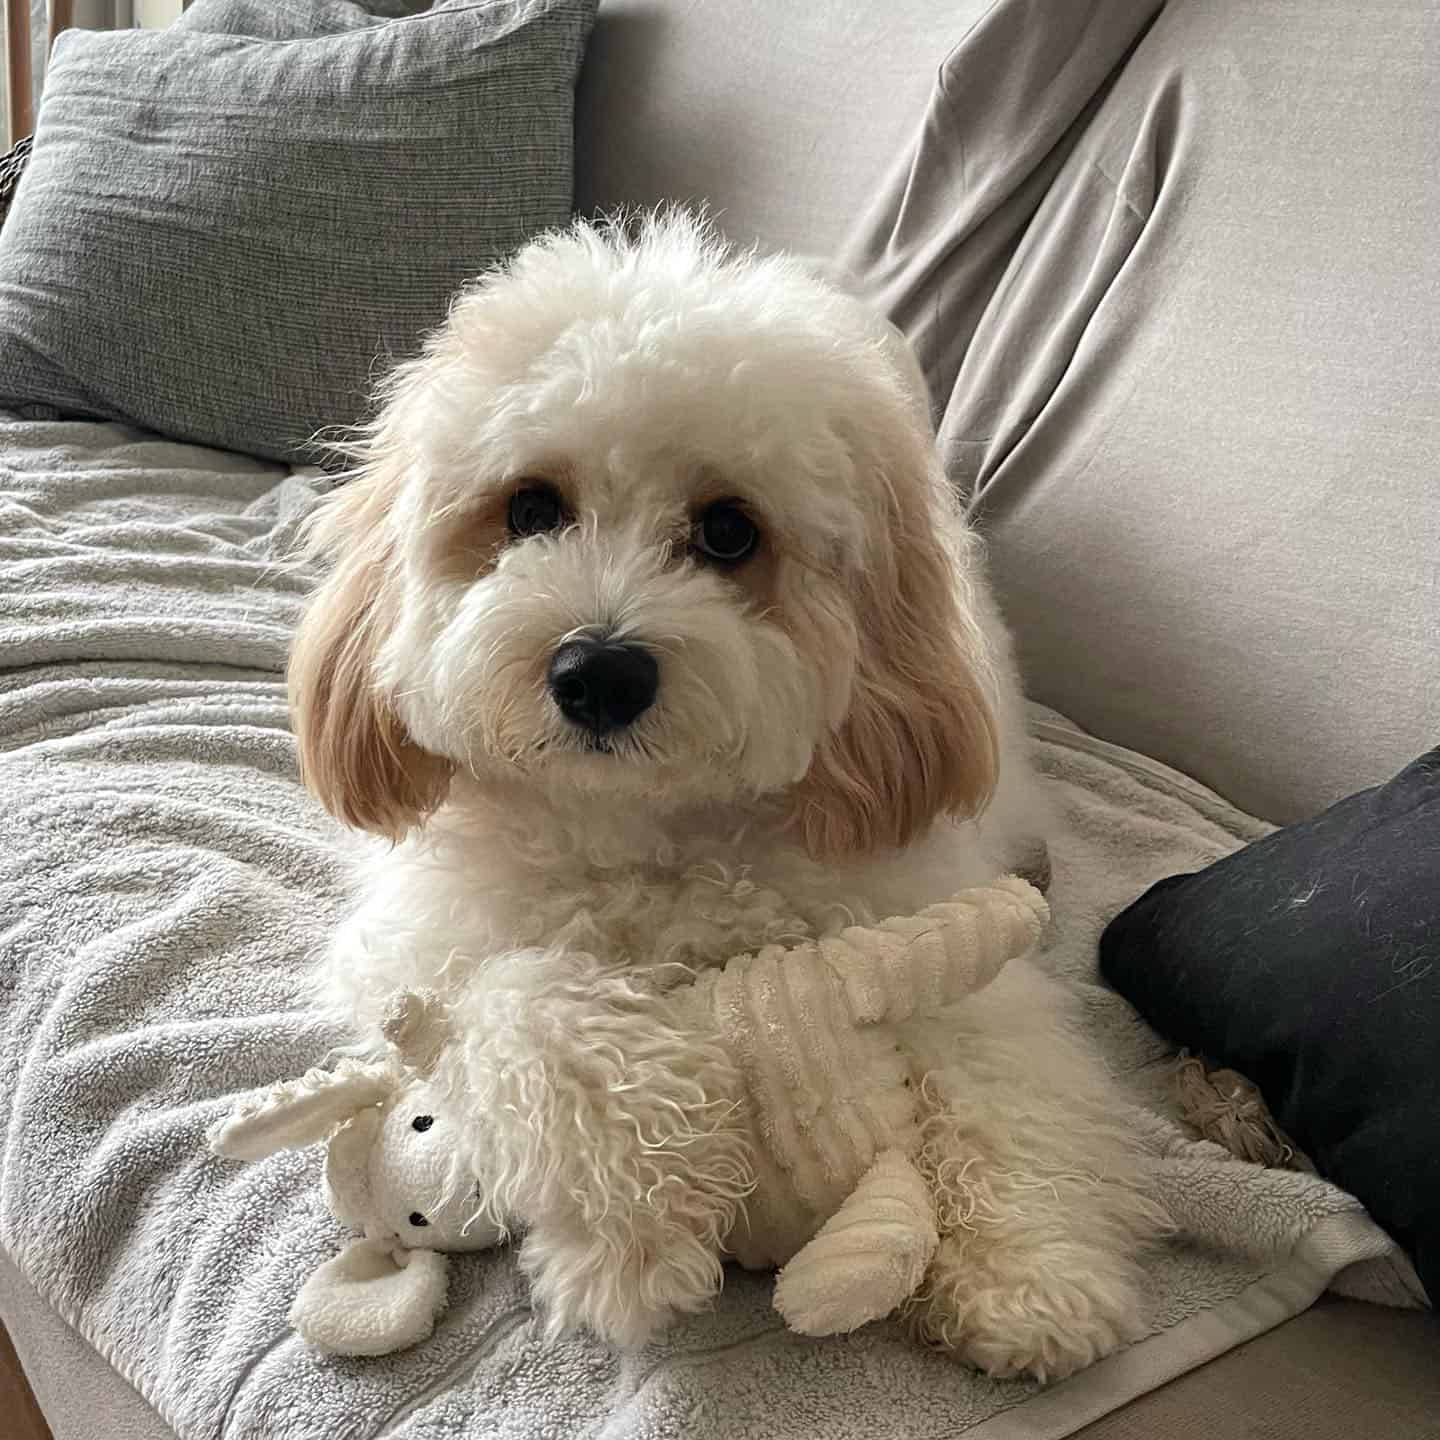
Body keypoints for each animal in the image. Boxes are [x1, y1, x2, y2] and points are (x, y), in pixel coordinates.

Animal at [289, 213, 1157, 1382]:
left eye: (730, 531)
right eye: (530, 508)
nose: (599, 672)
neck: (650, 833)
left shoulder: (937, 939)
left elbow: (1002, 1084)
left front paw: (1030, 1269)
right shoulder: (419, 948)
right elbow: (516, 1002)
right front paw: (639, 1211)